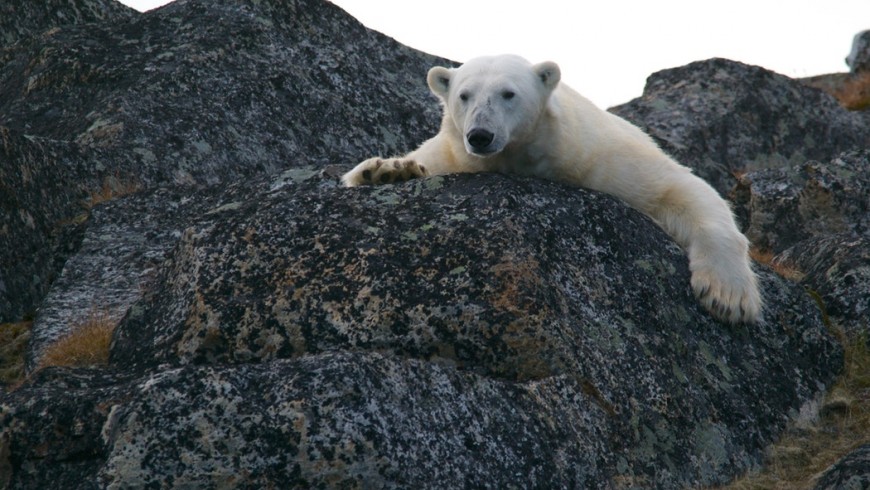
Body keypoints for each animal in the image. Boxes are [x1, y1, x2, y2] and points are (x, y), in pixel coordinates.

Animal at [342, 54, 764, 326]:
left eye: (508, 93)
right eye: (464, 95)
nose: (480, 135)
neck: (525, 157)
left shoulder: (600, 156)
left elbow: (680, 188)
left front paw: (728, 297)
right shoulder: (452, 153)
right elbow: (416, 162)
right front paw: (387, 171)